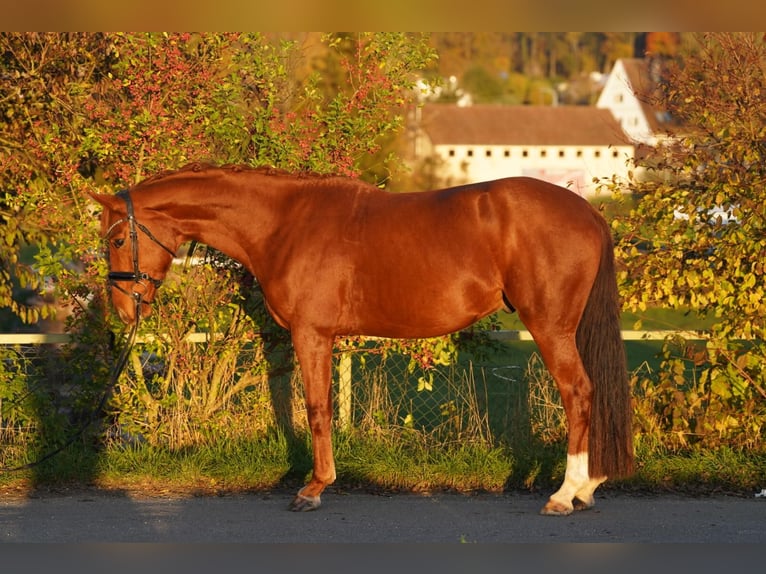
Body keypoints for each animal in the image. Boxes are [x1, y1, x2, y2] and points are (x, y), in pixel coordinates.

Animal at [90, 163, 636, 516]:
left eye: (116, 239)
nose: (123, 311)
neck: (285, 223)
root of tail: (588, 213)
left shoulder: (312, 334)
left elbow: (317, 408)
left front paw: (313, 489)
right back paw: (588, 486)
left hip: (549, 327)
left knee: (578, 393)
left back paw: (566, 493)